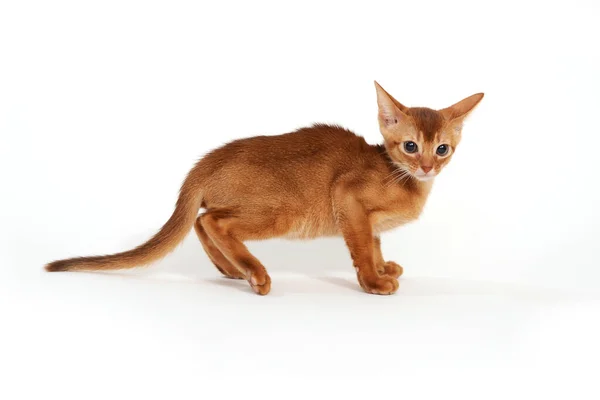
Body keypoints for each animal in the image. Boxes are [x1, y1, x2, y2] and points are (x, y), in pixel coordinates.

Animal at [48, 82, 488, 294]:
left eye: (443, 149)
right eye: (410, 146)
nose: (427, 166)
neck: (401, 177)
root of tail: (207, 160)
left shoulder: (367, 218)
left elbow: (375, 243)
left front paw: (383, 268)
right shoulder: (347, 196)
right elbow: (362, 247)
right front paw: (374, 281)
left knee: (201, 220)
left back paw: (231, 268)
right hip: (285, 212)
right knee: (214, 221)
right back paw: (254, 272)